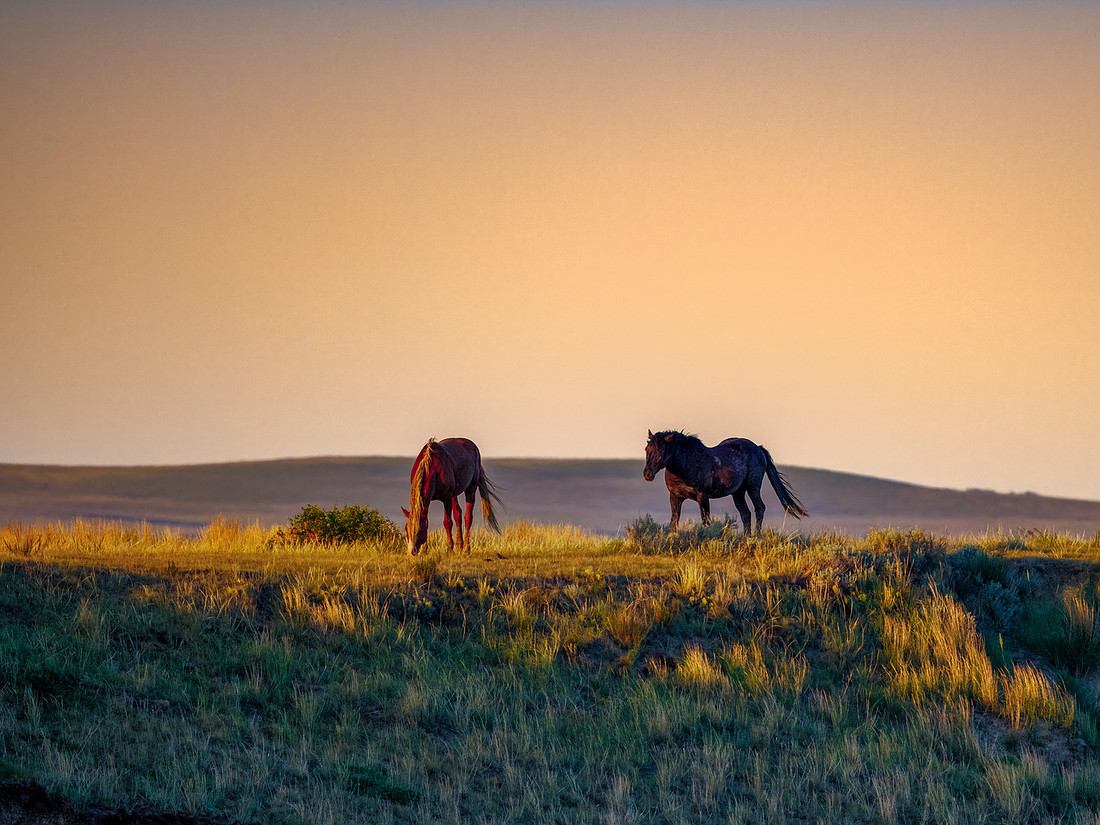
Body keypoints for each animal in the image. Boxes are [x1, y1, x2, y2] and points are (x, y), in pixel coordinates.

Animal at [643, 430, 808, 533]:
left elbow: (706, 521)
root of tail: (758, 448)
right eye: (646, 449)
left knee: (759, 508)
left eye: (661, 450)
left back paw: (757, 537)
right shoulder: (675, 497)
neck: (687, 463)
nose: (647, 474)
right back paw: (746, 539)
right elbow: (674, 522)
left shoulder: (702, 497)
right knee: (746, 513)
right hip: (738, 493)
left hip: (753, 487)